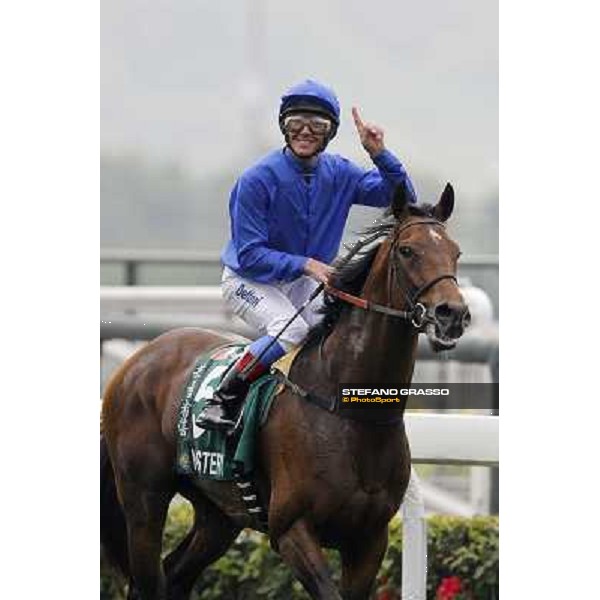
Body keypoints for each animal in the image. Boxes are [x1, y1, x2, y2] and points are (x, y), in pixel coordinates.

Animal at [101, 184, 472, 600]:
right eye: (407, 250)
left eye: (456, 251)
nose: (451, 314)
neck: (350, 413)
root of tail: (135, 363)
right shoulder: (292, 529)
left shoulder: (369, 540)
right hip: (144, 501)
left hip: (219, 514)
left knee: (176, 574)